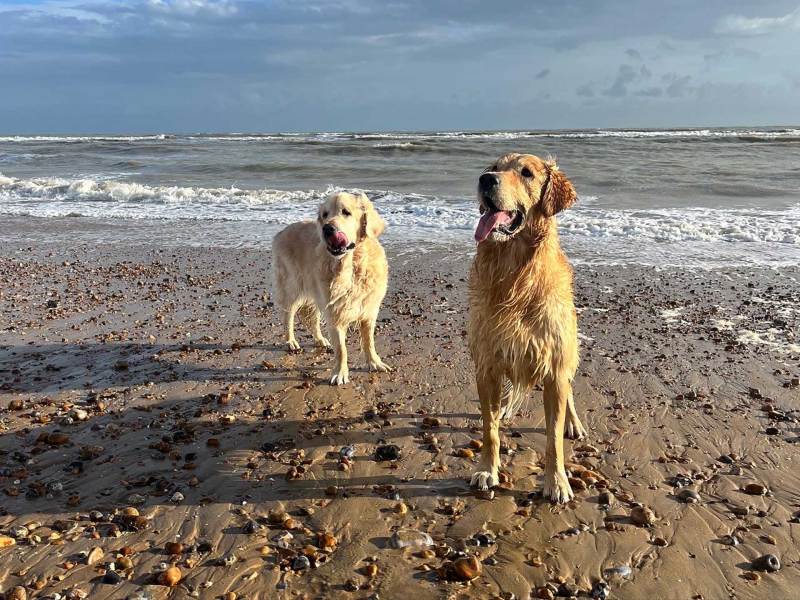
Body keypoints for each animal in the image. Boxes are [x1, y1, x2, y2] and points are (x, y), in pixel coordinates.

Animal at [270, 193, 392, 384]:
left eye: (346, 212)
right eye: (325, 214)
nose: (327, 229)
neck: (352, 267)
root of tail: (281, 232)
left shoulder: (368, 310)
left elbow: (368, 341)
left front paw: (374, 362)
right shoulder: (335, 312)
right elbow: (341, 349)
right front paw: (340, 373)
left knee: (312, 319)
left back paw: (320, 339)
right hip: (292, 287)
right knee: (287, 316)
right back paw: (291, 341)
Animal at [468, 154, 588, 502]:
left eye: (527, 173)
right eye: (494, 166)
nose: (485, 179)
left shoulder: (555, 368)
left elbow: (553, 438)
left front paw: (557, 481)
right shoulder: (487, 365)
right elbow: (489, 429)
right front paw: (487, 469)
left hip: (569, 351)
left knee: (570, 393)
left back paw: (573, 423)